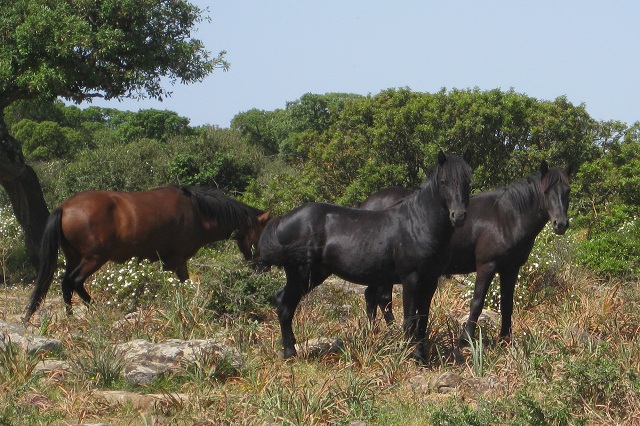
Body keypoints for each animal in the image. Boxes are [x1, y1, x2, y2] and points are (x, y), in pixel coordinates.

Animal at [24, 185, 270, 322]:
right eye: (262, 235)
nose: (264, 268)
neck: (198, 213)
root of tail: (65, 207)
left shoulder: (178, 262)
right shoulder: (173, 260)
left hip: (74, 257)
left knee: (65, 283)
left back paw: (70, 315)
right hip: (93, 259)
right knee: (74, 281)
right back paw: (94, 309)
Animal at [258, 151, 472, 362]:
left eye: (467, 181)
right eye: (444, 182)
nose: (459, 216)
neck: (418, 223)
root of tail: (283, 219)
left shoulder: (430, 280)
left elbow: (422, 320)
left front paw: (422, 358)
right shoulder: (411, 279)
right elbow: (410, 320)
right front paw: (410, 355)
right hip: (302, 275)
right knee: (285, 306)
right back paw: (290, 353)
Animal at [360, 161, 576, 346]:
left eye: (568, 191)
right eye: (546, 191)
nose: (560, 224)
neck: (507, 217)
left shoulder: (510, 269)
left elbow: (507, 303)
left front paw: (505, 340)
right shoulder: (486, 266)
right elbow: (477, 302)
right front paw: (466, 339)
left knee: (374, 296)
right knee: (380, 298)